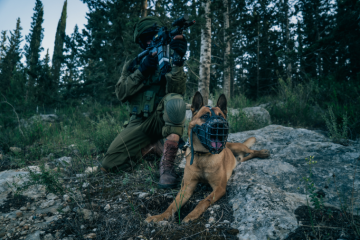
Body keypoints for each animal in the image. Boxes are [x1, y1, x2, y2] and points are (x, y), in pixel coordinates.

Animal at [145, 91, 268, 223]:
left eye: (221, 116)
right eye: (205, 116)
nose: (221, 125)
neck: (203, 155)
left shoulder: (219, 188)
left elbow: (204, 201)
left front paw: (192, 215)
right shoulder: (187, 187)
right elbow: (173, 204)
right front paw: (159, 216)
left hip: (238, 147)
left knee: (251, 150)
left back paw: (263, 152)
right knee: (243, 158)